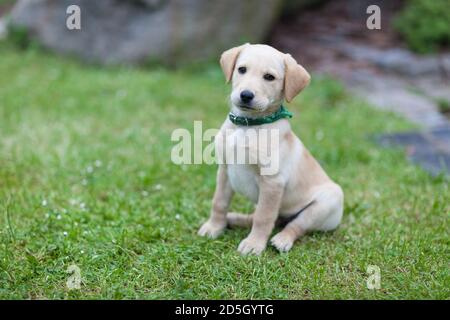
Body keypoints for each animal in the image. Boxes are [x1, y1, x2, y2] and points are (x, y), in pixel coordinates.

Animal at [199, 43, 342, 255]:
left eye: (269, 77)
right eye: (242, 69)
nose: (246, 95)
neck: (247, 126)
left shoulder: (272, 182)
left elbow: (264, 217)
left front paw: (254, 244)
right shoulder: (224, 170)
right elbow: (219, 202)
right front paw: (214, 227)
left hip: (326, 203)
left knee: (294, 225)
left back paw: (282, 240)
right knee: (266, 218)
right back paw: (233, 219)